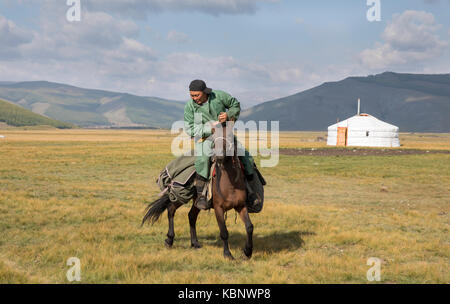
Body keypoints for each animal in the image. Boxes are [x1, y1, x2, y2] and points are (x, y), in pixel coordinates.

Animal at [142, 121, 253, 258]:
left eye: (230, 135)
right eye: (213, 135)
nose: (219, 156)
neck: (231, 184)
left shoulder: (241, 205)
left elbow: (249, 227)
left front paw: (248, 252)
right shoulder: (218, 208)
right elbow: (224, 232)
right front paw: (227, 254)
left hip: (196, 200)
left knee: (191, 216)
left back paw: (194, 243)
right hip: (182, 196)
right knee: (171, 209)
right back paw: (169, 239)